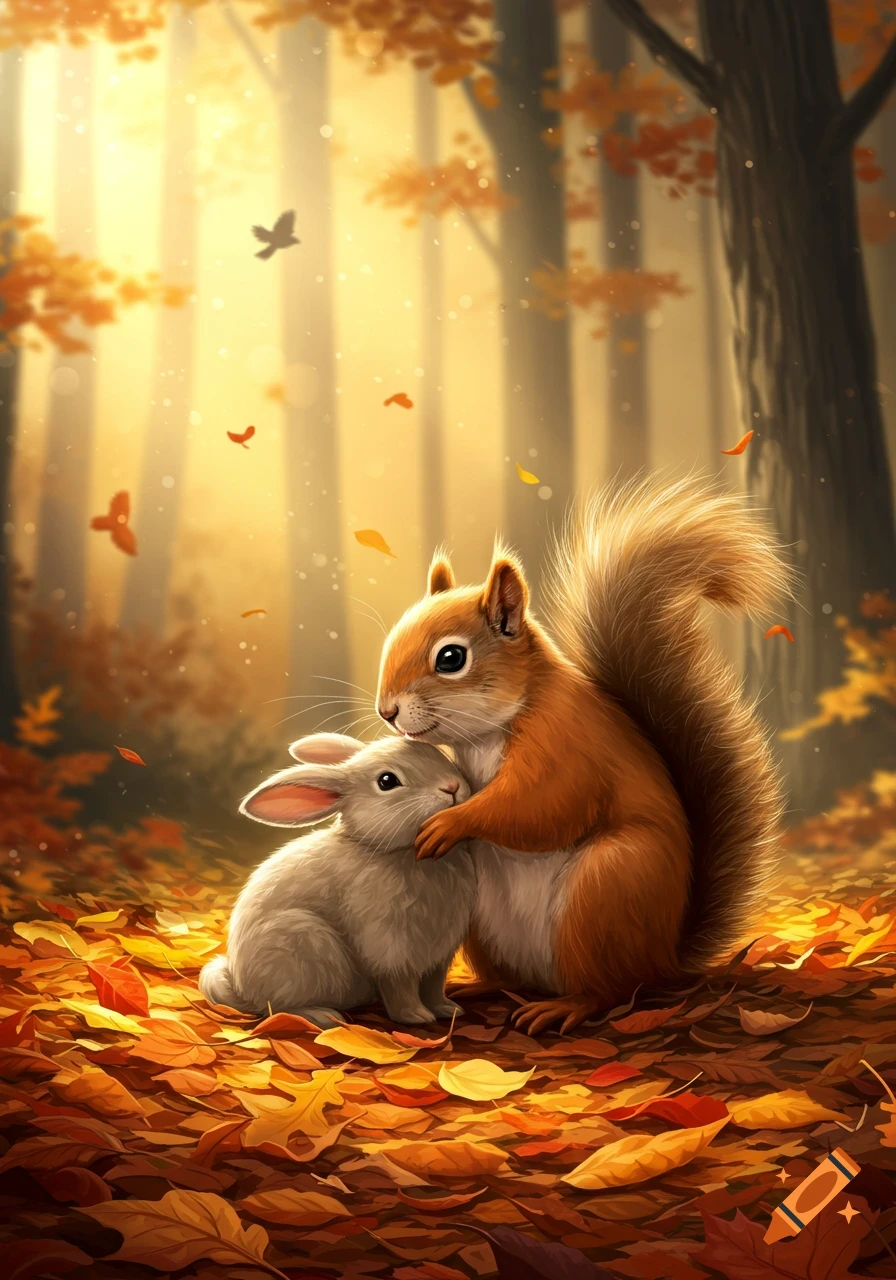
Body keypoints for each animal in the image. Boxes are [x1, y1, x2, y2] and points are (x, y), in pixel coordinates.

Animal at [198, 733, 476, 1029]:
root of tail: (240, 989)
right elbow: (401, 986)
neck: (395, 851)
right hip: (301, 944)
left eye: (436, 752)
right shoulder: (392, 950)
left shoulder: (440, 954)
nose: (452, 786)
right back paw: (323, 1016)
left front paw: (448, 1009)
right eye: (386, 781)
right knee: (276, 1009)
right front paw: (416, 1017)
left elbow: (434, 985)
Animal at [375, 477, 789, 1034]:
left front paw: (450, 822)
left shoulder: (567, 748)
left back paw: (565, 1007)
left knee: (609, 990)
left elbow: (539, 807)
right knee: (512, 978)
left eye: (451, 658)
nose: (386, 711)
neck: (493, 728)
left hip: (605, 891)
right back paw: (478, 987)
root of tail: (664, 958)